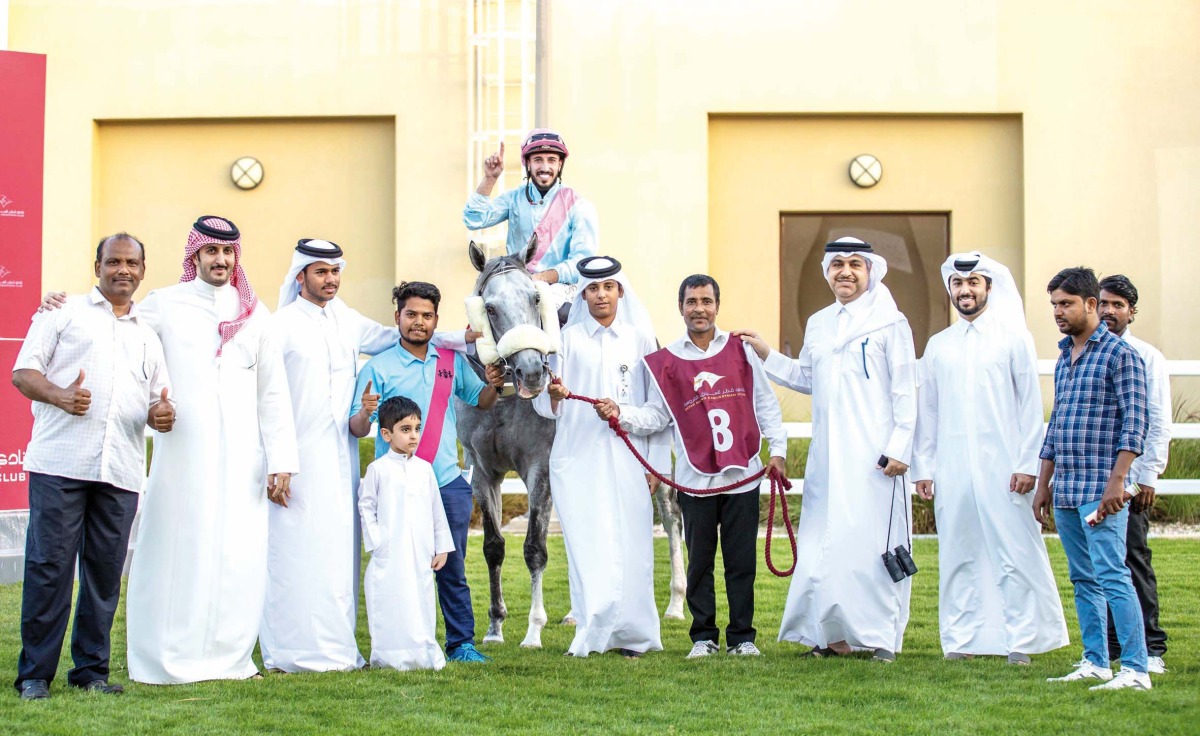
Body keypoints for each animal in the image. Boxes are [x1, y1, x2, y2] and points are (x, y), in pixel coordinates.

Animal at [456, 237, 686, 643]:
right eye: (490, 307)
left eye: (535, 298)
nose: (532, 371)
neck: (505, 398)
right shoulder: (482, 470)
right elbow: (494, 547)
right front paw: (495, 626)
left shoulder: (539, 465)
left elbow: (534, 548)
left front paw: (533, 631)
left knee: (670, 511)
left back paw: (674, 604)